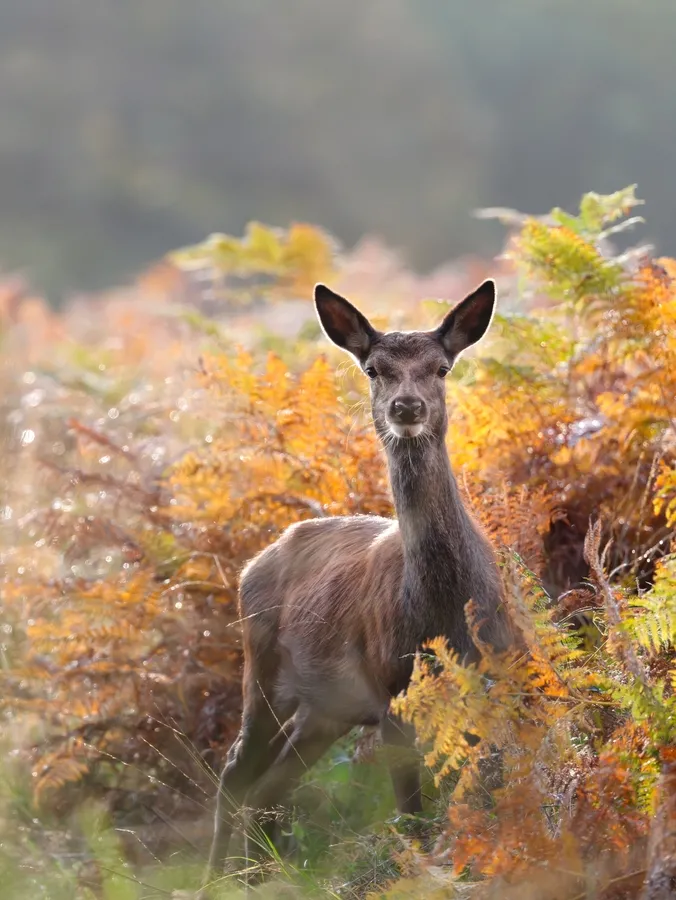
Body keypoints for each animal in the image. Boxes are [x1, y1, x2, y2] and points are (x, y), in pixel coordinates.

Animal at [202, 278, 513, 888]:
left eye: (441, 367)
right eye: (373, 368)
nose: (407, 406)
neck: (443, 610)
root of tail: (253, 563)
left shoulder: (496, 675)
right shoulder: (391, 691)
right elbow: (412, 821)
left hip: (326, 709)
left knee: (269, 786)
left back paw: (256, 875)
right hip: (264, 671)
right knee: (234, 773)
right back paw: (218, 881)